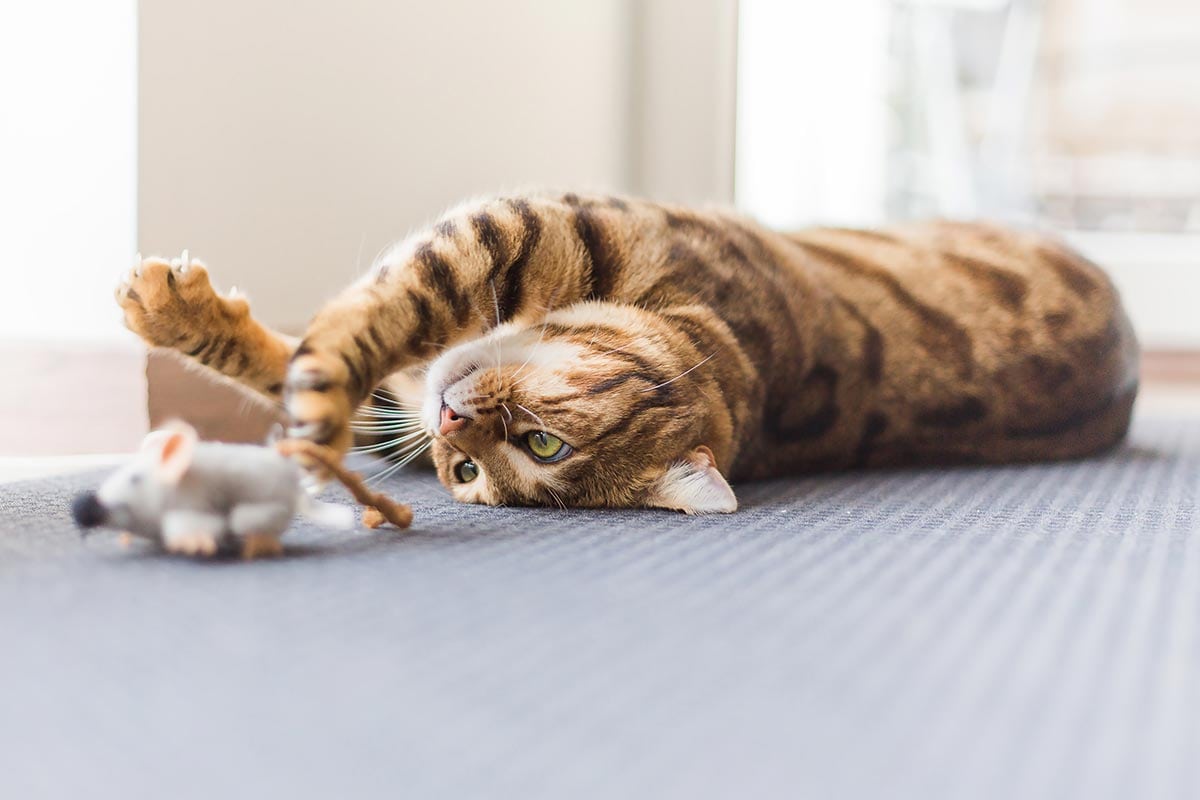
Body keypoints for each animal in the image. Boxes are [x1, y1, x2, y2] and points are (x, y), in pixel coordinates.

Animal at [117, 191, 1137, 513]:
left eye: (531, 452)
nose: (452, 424)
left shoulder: (513, 230)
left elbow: (353, 335)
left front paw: (313, 409)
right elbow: (334, 335)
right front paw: (175, 310)